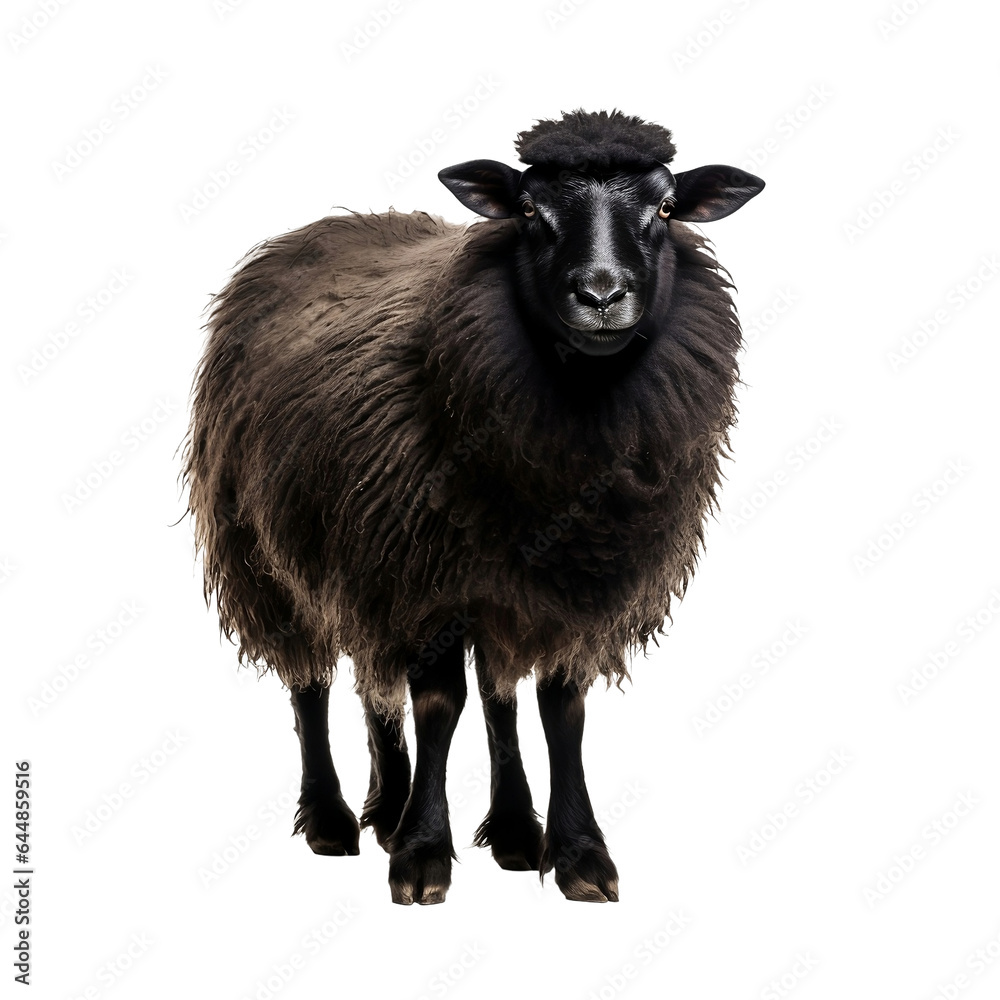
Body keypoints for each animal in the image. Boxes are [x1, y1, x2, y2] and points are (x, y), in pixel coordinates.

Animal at [184, 109, 764, 905]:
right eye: (529, 210)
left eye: (667, 208)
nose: (601, 294)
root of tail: (322, 229)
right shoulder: (428, 576)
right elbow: (440, 704)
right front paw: (424, 855)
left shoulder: (567, 582)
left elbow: (555, 707)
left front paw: (575, 852)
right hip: (262, 545)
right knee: (311, 680)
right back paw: (336, 819)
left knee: (410, 685)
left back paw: (437, 817)